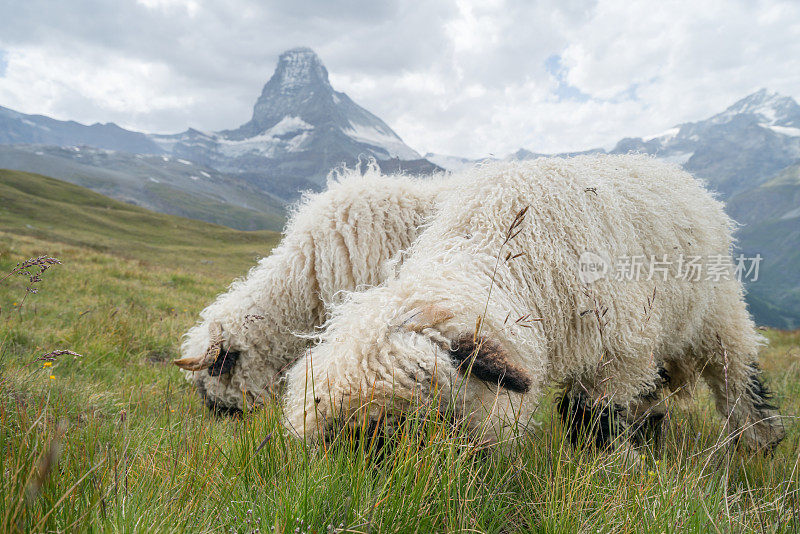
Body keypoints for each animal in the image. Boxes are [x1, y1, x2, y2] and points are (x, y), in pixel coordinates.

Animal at [284, 155, 784, 452]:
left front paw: (613, 467)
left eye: (422, 418)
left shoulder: (617, 349)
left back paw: (760, 444)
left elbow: (593, 418)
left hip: (717, 311)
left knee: (737, 373)